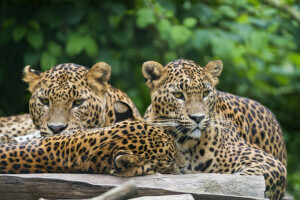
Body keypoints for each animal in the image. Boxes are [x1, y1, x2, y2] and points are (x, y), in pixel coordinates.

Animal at [142, 58, 288, 199]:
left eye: (205, 93)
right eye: (178, 95)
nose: (198, 118)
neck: (183, 143)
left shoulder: (270, 162)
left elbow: (244, 180)